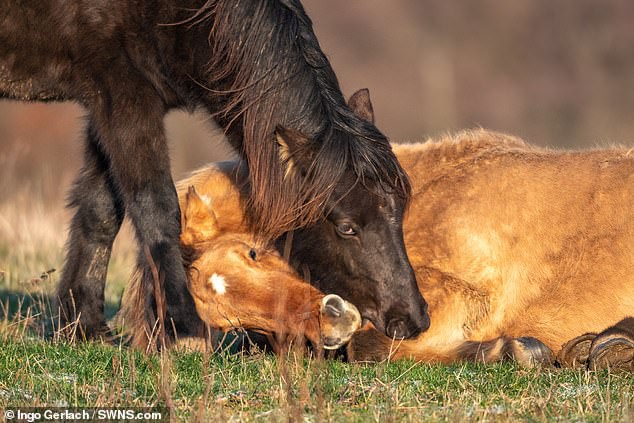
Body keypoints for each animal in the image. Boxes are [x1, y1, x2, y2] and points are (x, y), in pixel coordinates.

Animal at [0, 0, 428, 342]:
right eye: (346, 227)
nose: (413, 319)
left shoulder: (105, 105)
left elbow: (100, 211)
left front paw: (84, 327)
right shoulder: (124, 97)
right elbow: (156, 207)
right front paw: (182, 328)